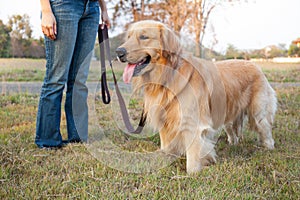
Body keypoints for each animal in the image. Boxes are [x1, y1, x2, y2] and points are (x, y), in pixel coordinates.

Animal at [115, 19, 276, 173]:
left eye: (143, 37)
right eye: (128, 37)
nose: (118, 52)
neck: (168, 75)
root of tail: (254, 64)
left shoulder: (192, 122)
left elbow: (193, 154)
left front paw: (193, 172)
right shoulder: (164, 119)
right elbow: (166, 145)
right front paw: (165, 159)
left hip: (258, 113)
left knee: (265, 129)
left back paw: (268, 147)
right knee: (233, 131)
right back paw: (232, 143)